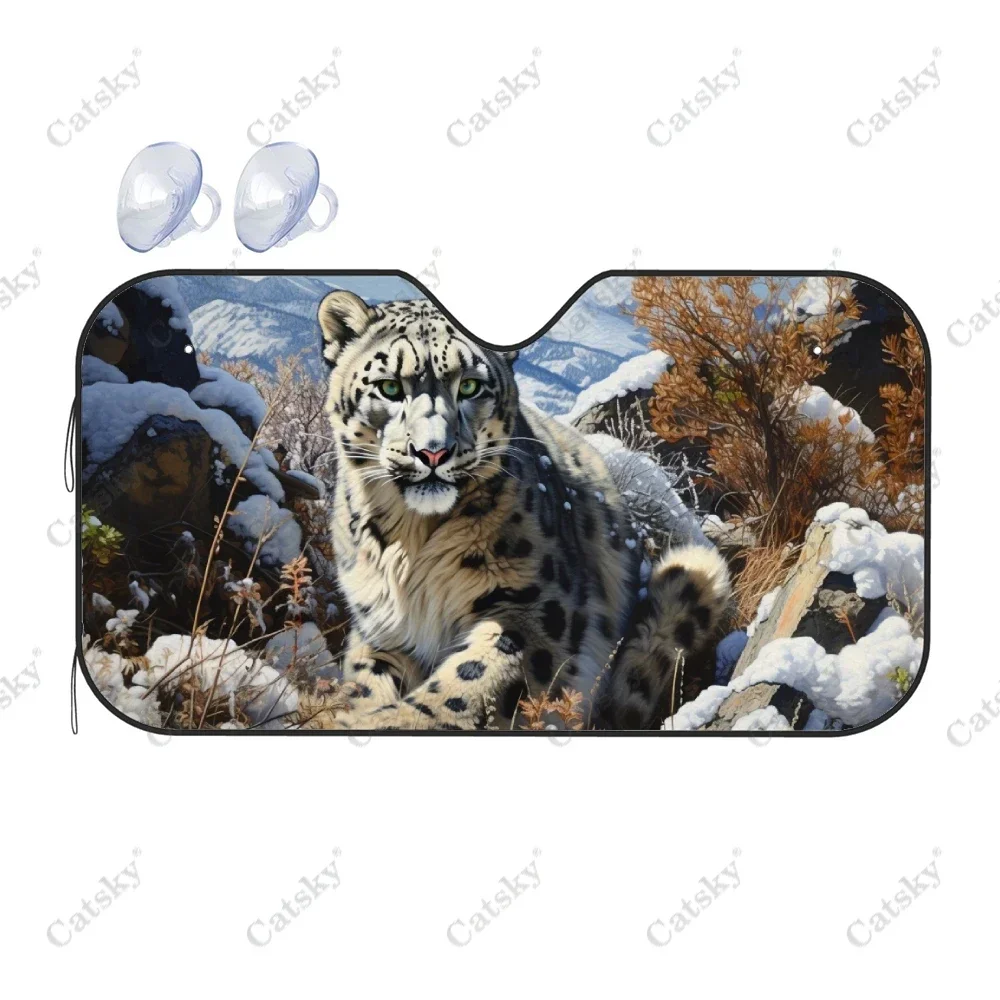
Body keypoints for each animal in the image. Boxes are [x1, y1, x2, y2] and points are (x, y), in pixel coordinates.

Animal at [318, 289, 731, 731]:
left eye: (469, 386)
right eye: (390, 387)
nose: (433, 452)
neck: (411, 539)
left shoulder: (533, 607)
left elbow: (474, 678)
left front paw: (398, 720)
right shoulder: (380, 625)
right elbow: (364, 680)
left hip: (689, 575)